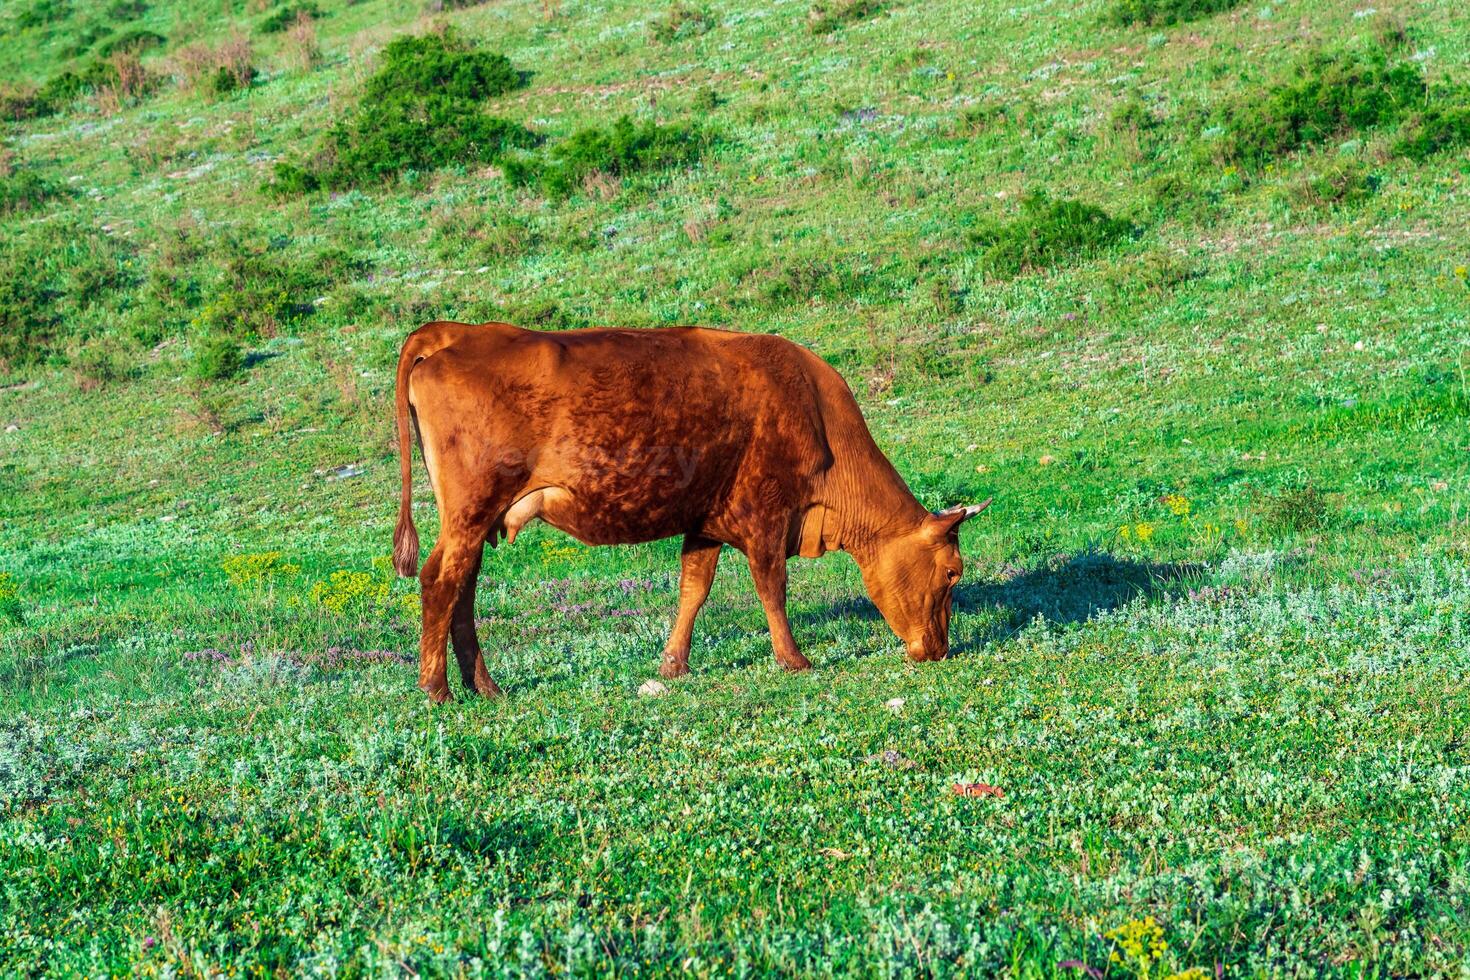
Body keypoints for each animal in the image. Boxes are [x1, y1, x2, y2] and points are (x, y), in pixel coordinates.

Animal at [391, 326, 987, 702]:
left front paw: (672, 665)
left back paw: (485, 687)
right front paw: (794, 660)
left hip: (475, 520)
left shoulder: (706, 520)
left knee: (463, 589)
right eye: (952, 572)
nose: (939, 651)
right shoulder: (765, 513)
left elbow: (693, 590)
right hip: (470, 509)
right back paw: (437, 690)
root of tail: (456, 332)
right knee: (439, 580)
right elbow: (772, 587)